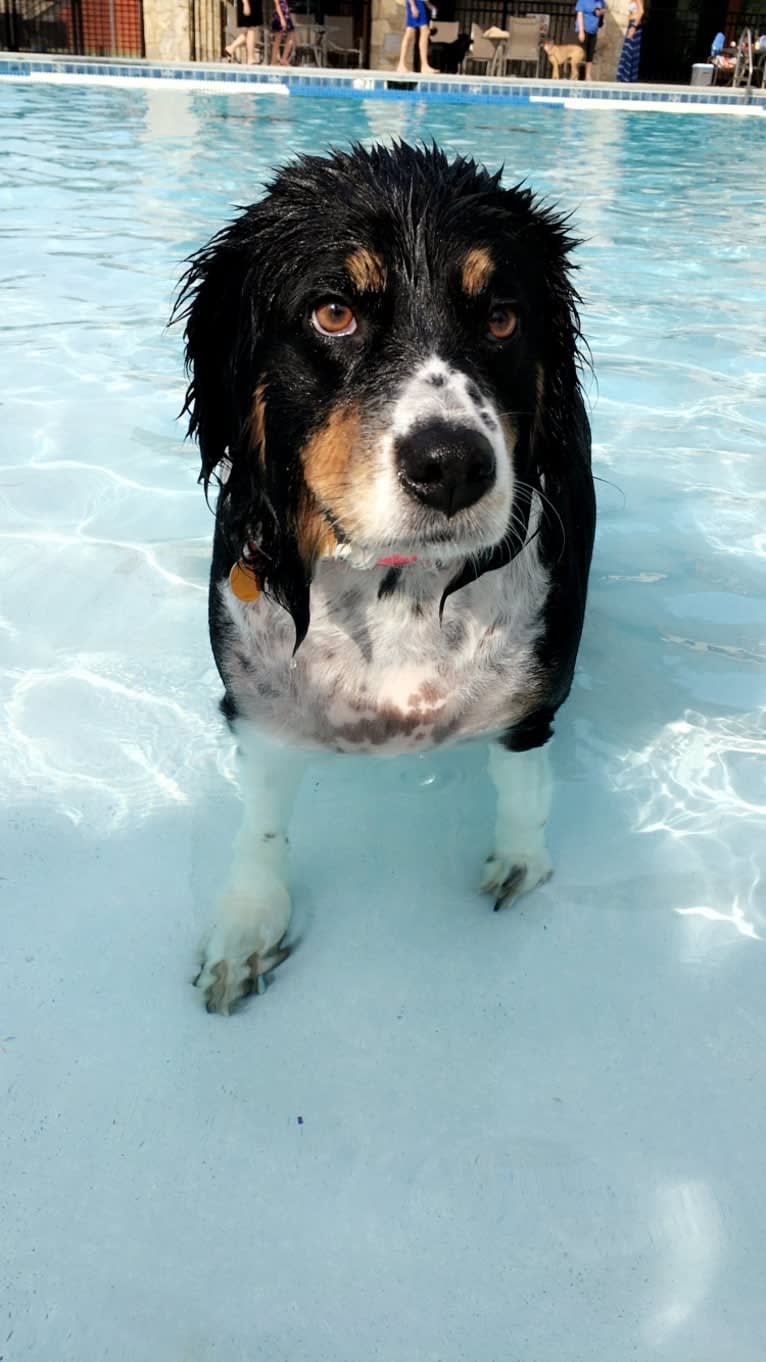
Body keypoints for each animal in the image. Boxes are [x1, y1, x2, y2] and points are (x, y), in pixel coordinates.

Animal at [175, 143, 594, 1018]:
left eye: (501, 319)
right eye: (333, 313)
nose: (454, 466)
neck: (396, 586)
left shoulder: (532, 704)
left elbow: (523, 789)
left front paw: (519, 865)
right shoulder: (259, 707)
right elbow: (262, 823)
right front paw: (247, 925)